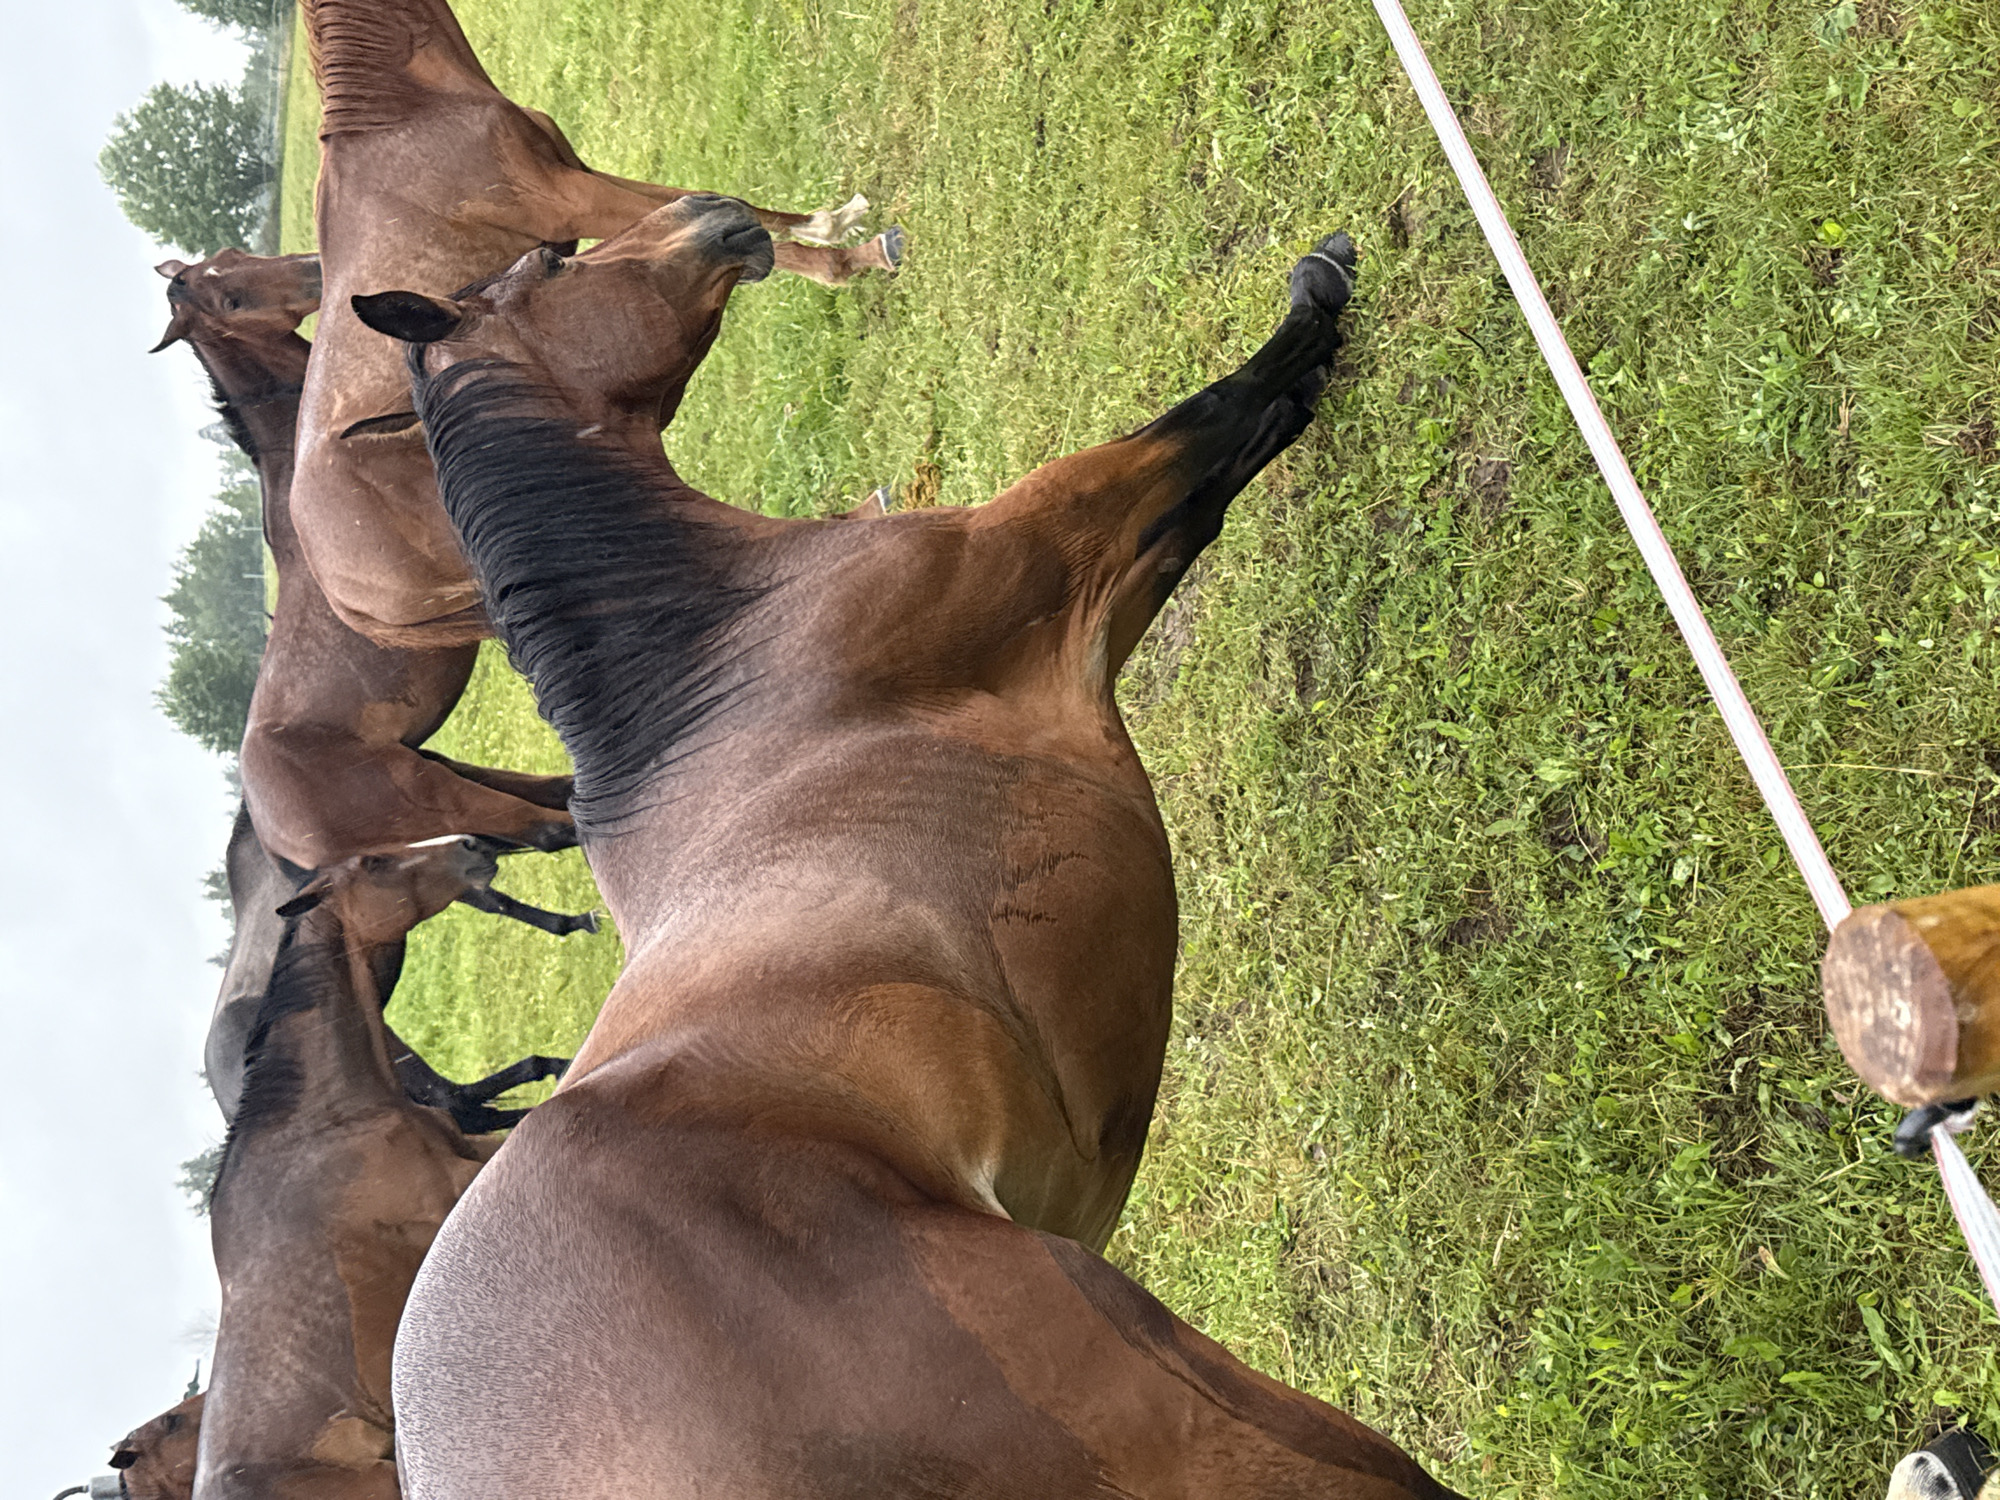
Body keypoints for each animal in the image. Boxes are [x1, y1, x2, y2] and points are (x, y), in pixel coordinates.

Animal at [154, 251, 585, 868]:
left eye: (231, 260)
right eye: (230, 303)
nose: (313, 268)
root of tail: (279, 838)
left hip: (441, 768)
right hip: (438, 793)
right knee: (551, 826)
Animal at [294, 0, 903, 648]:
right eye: (549, 264)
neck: (408, 110)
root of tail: (352, 603)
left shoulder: (576, 172)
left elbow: (701, 202)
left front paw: (830, 224)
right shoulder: (574, 198)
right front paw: (849, 253)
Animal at [354, 203, 1461, 1497]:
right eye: (552, 262)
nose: (715, 218)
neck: (729, 651)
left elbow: (1207, 479)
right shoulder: (1053, 549)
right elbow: (1191, 434)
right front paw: (1316, 300)